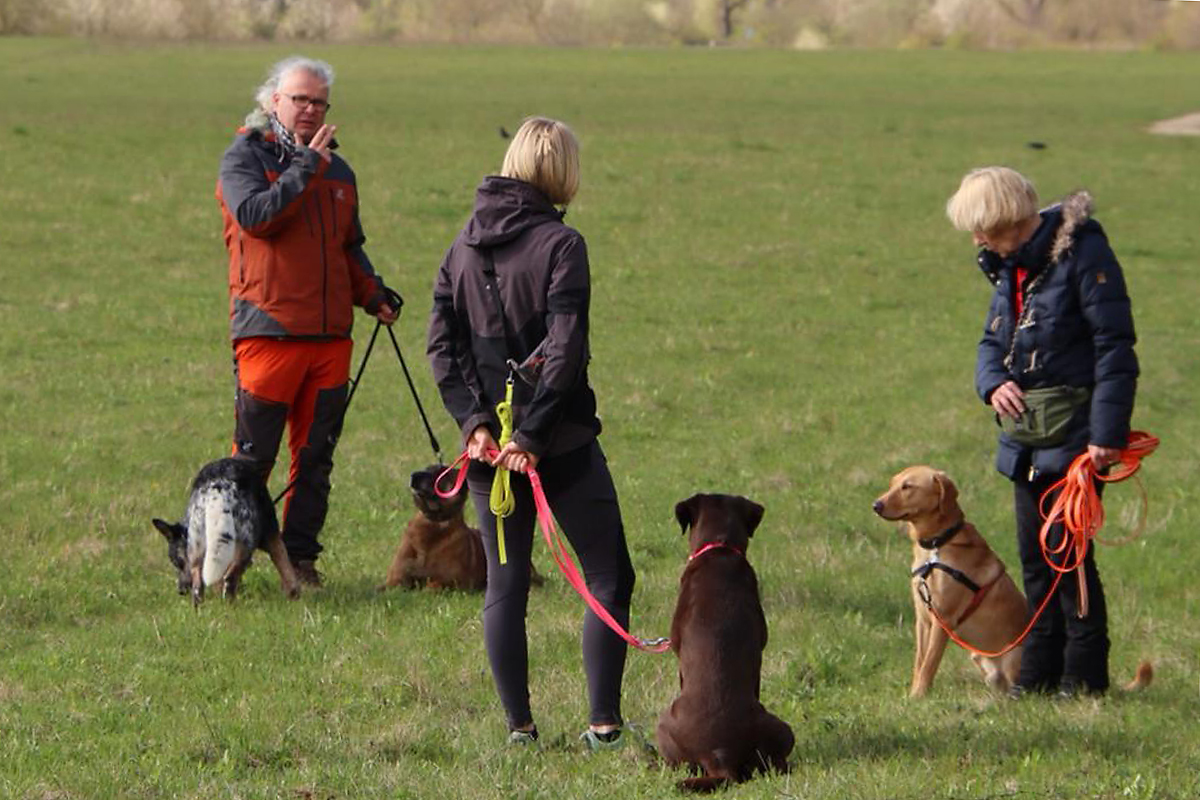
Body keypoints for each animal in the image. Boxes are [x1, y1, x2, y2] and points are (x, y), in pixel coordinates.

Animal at [152, 460, 300, 604]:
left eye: (176, 563)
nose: (181, 590)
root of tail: (215, 491)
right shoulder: (271, 535)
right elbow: (285, 566)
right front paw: (293, 596)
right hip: (245, 545)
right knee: (230, 578)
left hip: (200, 550)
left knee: (199, 588)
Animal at [873, 465, 1032, 695]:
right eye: (892, 484)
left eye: (907, 486)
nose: (876, 505)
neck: (935, 547)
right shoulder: (923, 619)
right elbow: (919, 663)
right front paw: (914, 694)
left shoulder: (943, 619)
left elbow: (929, 664)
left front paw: (918, 696)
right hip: (979, 658)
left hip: (1013, 654)